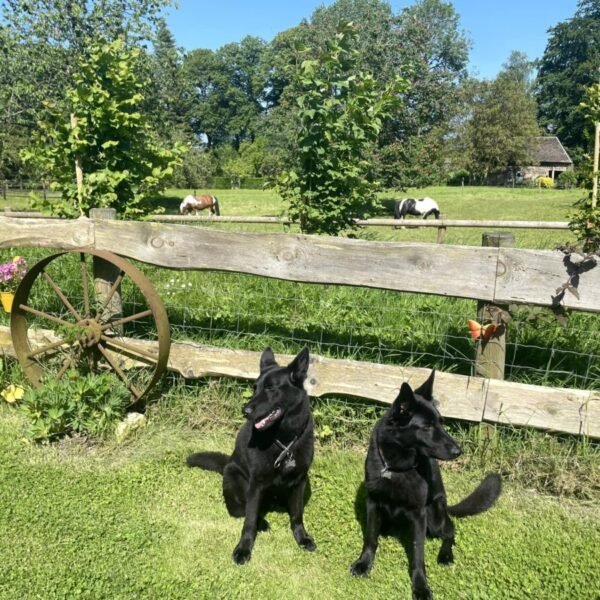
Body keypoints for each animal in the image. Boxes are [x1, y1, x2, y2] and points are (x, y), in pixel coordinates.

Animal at [188, 344, 316, 564]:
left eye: (271, 388)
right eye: (255, 387)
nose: (245, 411)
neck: (284, 441)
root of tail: (227, 463)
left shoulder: (299, 482)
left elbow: (297, 515)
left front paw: (301, 538)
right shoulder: (255, 485)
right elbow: (248, 521)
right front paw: (244, 549)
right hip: (235, 478)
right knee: (240, 510)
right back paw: (260, 523)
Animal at [352, 370, 502, 600]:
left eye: (441, 422)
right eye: (427, 427)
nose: (458, 451)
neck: (397, 466)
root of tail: (446, 506)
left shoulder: (419, 515)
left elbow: (418, 554)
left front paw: (420, 586)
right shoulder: (373, 504)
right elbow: (370, 538)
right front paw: (364, 563)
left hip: (435, 517)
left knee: (450, 531)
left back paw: (445, 555)